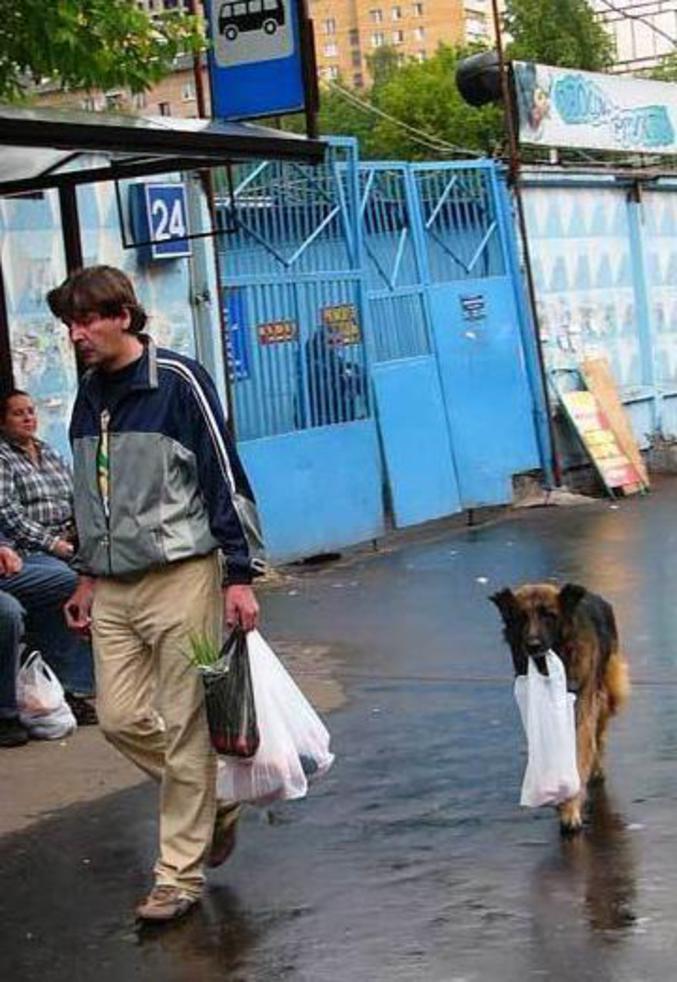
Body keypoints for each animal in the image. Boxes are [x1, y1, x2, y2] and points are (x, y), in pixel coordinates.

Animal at [492, 584, 628, 836]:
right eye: (521, 617)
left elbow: (580, 750)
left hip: (607, 694)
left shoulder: (582, 708)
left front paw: (570, 808)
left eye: (549, 616)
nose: (533, 645)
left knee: (598, 734)